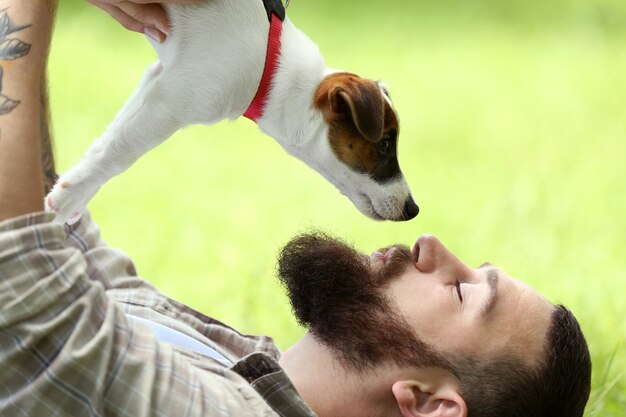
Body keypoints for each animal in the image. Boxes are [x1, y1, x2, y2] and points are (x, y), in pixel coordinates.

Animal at [46, 0, 416, 224]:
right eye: (384, 144)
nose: (414, 209)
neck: (271, 68)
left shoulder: (156, 82)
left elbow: (106, 142)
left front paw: (76, 192)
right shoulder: (172, 100)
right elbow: (120, 153)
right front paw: (66, 198)